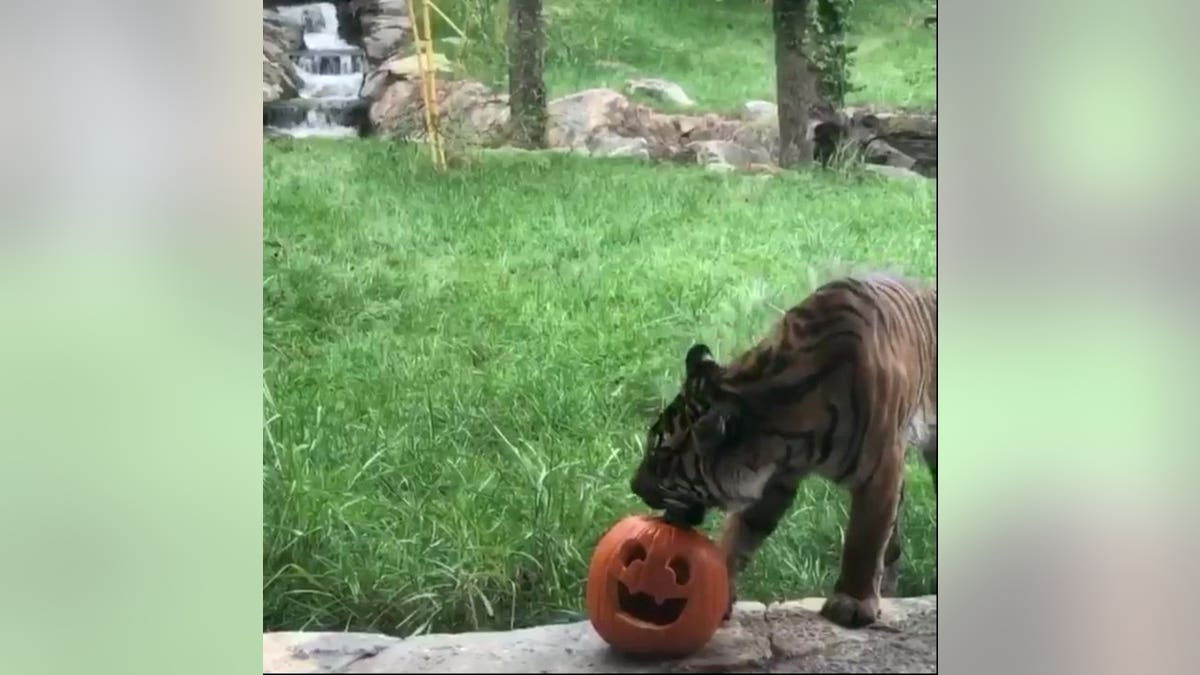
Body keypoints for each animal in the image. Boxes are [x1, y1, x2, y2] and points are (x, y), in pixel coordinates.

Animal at [628, 270, 936, 629]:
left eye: (660, 457)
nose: (633, 486)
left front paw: (852, 602)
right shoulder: (775, 477)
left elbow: (864, 537)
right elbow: (741, 532)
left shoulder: (878, 471)